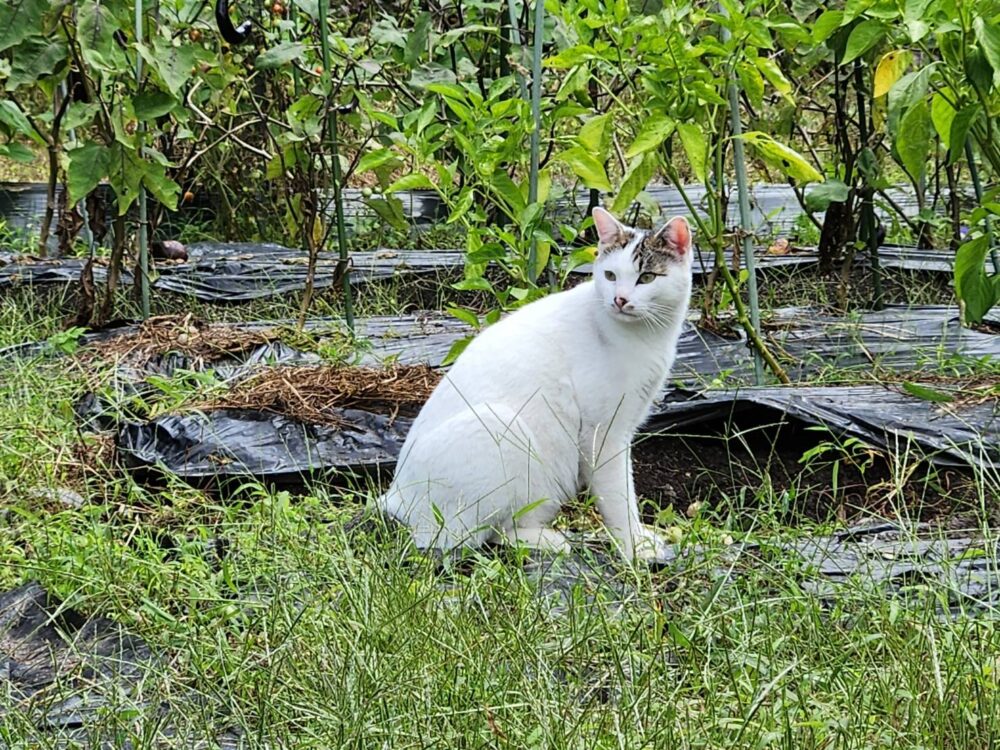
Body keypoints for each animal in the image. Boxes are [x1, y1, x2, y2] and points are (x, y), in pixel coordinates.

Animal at [376, 209, 696, 560]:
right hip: (502, 427)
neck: (646, 337)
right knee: (469, 537)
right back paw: (554, 542)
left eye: (647, 278)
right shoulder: (604, 434)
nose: (620, 299)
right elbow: (620, 497)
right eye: (611, 275)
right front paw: (634, 548)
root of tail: (394, 497)